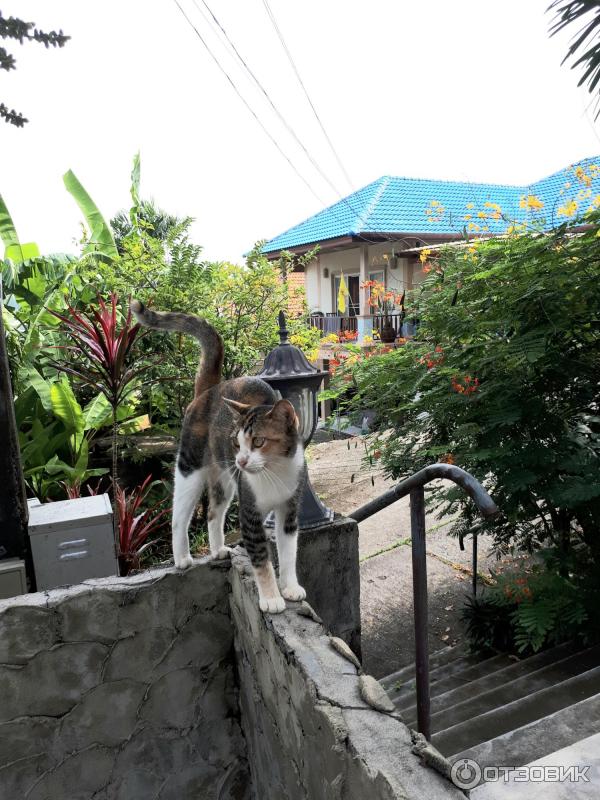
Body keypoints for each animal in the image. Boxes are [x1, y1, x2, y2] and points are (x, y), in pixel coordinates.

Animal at [129, 300, 308, 612]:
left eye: (258, 441)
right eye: (237, 442)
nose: (242, 461)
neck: (275, 471)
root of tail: (209, 390)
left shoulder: (289, 511)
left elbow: (288, 553)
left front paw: (290, 588)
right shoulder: (250, 515)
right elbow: (261, 560)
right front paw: (271, 598)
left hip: (224, 479)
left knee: (213, 512)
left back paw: (217, 551)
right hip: (190, 468)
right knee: (179, 514)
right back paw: (182, 558)